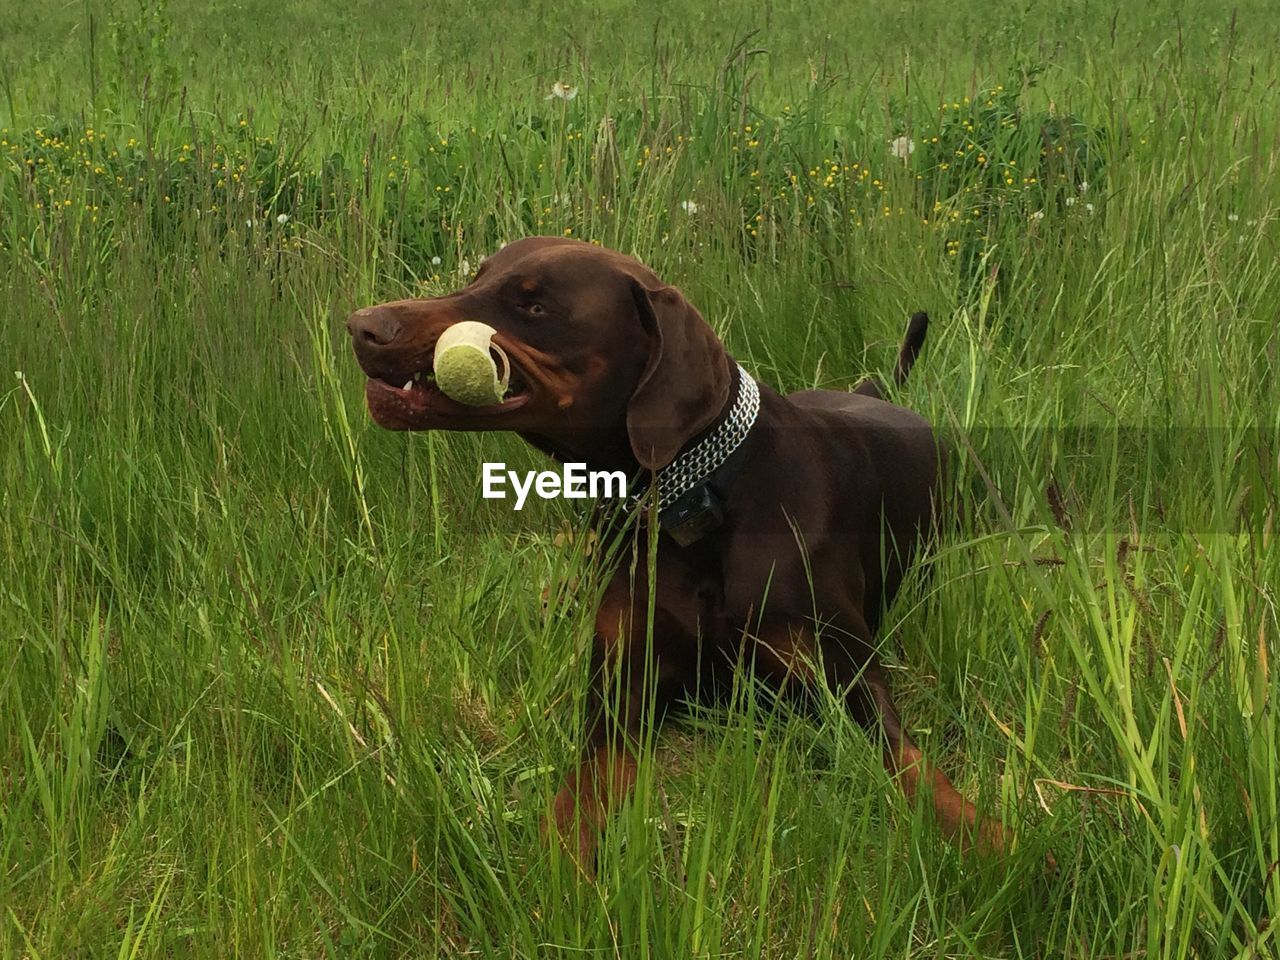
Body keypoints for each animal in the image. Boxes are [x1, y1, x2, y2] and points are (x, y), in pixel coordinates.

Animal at [350, 239, 1008, 865]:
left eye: (534, 307)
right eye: (477, 277)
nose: (361, 326)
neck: (694, 499)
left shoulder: (845, 680)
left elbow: (914, 767)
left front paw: (988, 839)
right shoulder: (621, 695)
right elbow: (577, 796)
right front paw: (558, 867)